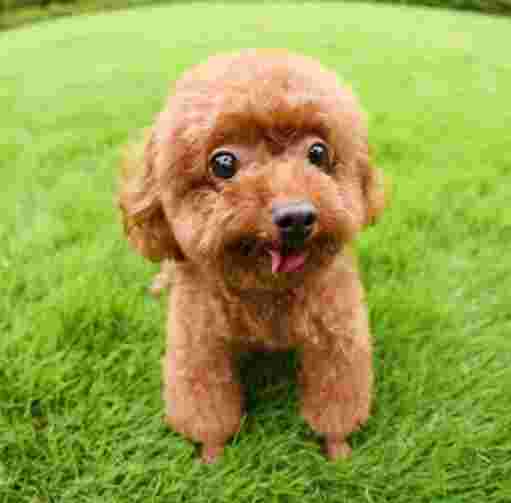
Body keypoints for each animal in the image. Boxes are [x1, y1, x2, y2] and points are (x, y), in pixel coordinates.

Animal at [119, 49, 385, 463]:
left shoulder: (335, 336)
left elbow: (336, 400)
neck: (266, 288)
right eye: (223, 163)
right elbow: (207, 410)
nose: (296, 217)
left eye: (318, 153)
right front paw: (212, 455)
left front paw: (338, 449)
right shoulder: (200, 347)